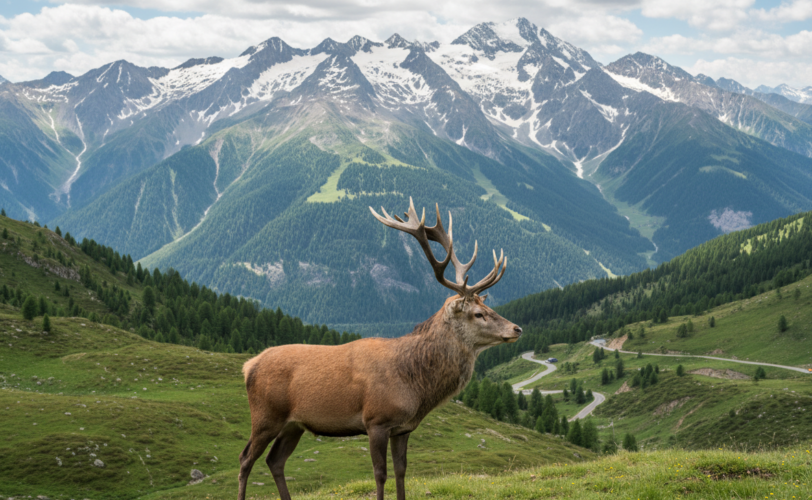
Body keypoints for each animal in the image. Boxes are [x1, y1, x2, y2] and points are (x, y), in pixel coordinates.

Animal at [238, 198, 522, 500]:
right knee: (246, 459)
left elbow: (401, 472)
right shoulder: (376, 420)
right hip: (266, 415)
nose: (517, 329)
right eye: (478, 314)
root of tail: (248, 366)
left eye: (488, 307)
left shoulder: (403, 428)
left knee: (275, 460)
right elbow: (380, 474)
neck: (415, 385)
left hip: (294, 424)